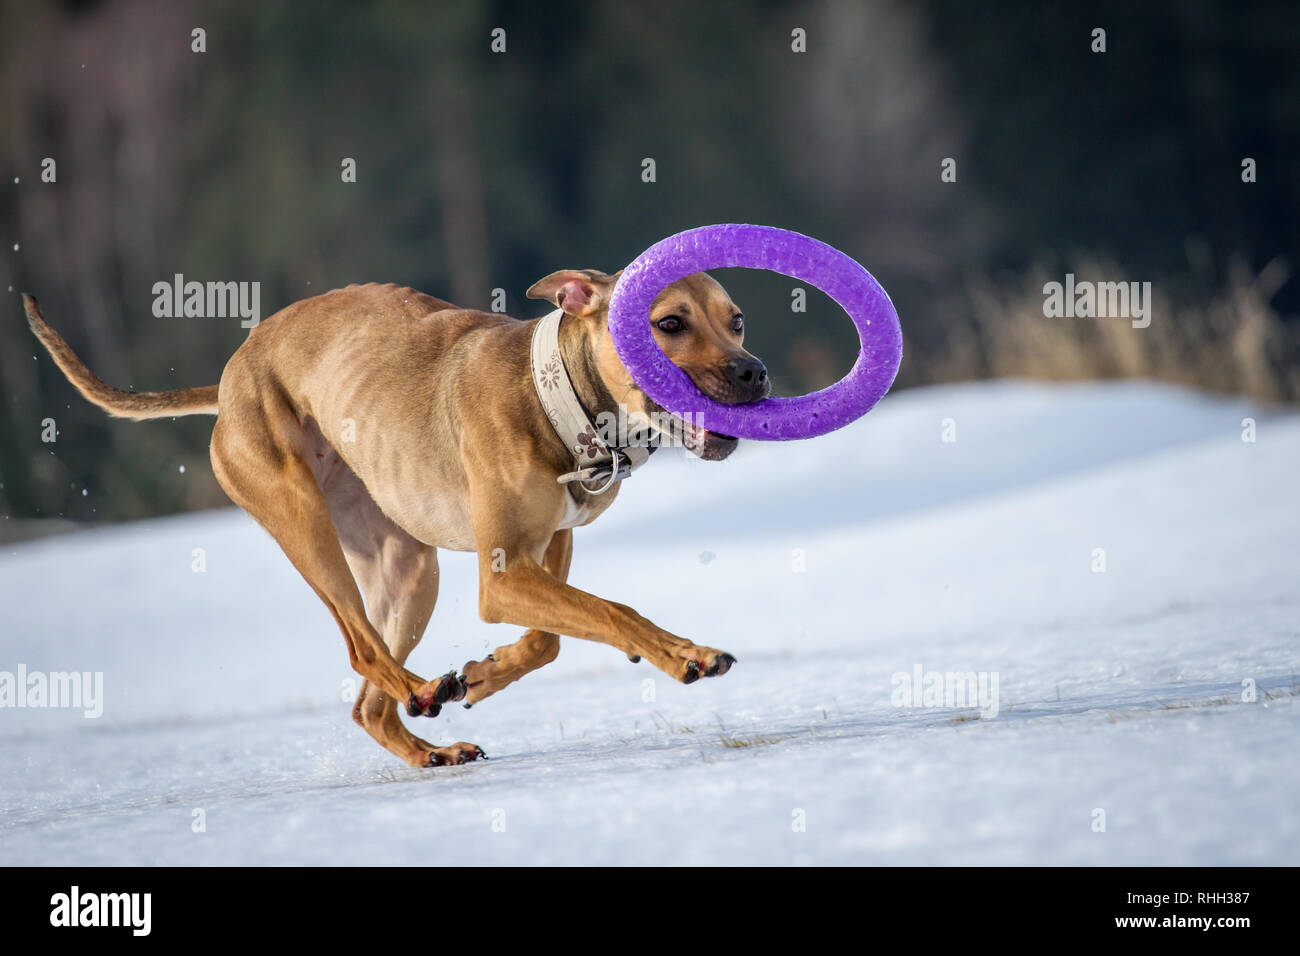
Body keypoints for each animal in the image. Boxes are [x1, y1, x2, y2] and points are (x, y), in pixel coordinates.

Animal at [20, 267, 769, 764]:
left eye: (735, 319)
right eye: (668, 323)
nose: (753, 371)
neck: (557, 399)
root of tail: (229, 379)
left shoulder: (545, 553)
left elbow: (548, 641)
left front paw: (487, 672)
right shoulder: (502, 578)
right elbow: (614, 611)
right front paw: (687, 655)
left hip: (406, 567)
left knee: (367, 702)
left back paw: (428, 743)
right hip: (304, 522)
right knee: (360, 647)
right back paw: (423, 687)